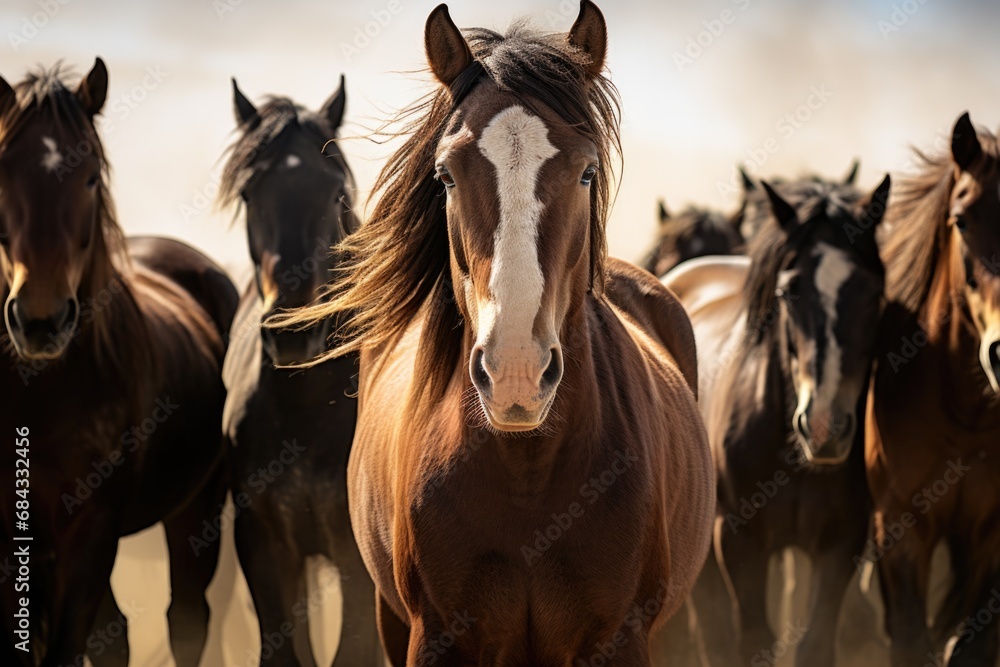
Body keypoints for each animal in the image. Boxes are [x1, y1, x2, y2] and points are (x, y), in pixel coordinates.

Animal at [0, 60, 238, 666]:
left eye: (89, 177)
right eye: (2, 174)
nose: (40, 320)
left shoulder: (92, 525)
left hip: (196, 509)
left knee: (187, 619)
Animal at [271, 2, 715, 663]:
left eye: (587, 172)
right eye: (447, 175)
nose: (516, 373)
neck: (526, 473)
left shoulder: (621, 637)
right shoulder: (432, 635)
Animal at [664, 174, 891, 666]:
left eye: (874, 294)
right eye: (790, 292)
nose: (824, 428)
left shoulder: (840, 543)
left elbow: (815, 642)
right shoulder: (738, 539)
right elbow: (751, 638)